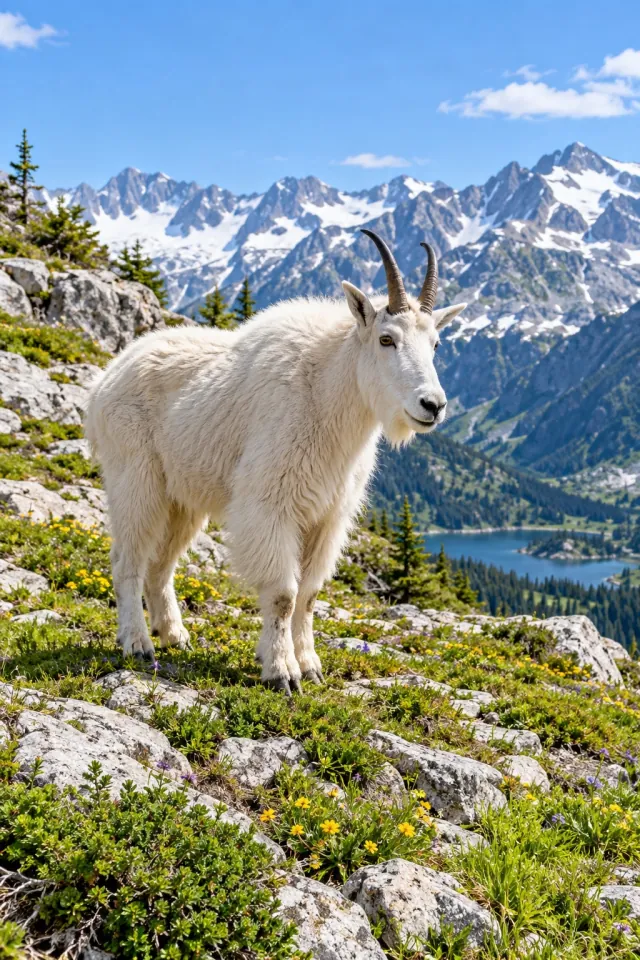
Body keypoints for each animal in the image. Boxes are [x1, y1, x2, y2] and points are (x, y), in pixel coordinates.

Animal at [85, 231, 466, 693]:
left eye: (435, 344)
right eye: (386, 339)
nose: (433, 405)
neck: (327, 397)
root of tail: (103, 383)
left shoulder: (326, 517)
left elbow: (309, 593)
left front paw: (311, 666)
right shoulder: (272, 505)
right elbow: (284, 594)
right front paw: (282, 672)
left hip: (183, 498)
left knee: (161, 565)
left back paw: (175, 635)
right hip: (136, 479)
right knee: (128, 561)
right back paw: (137, 643)